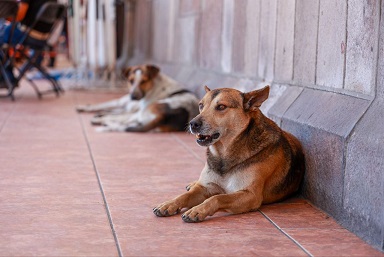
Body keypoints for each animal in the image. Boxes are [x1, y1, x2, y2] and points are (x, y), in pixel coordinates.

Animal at [153, 85, 306, 221]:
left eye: (221, 107)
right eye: (201, 105)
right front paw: (168, 204)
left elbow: (217, 198)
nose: (192, 124)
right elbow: (184, 196)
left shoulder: (250, 195)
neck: (223, 154)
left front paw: (197, 210)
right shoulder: (206, 187)